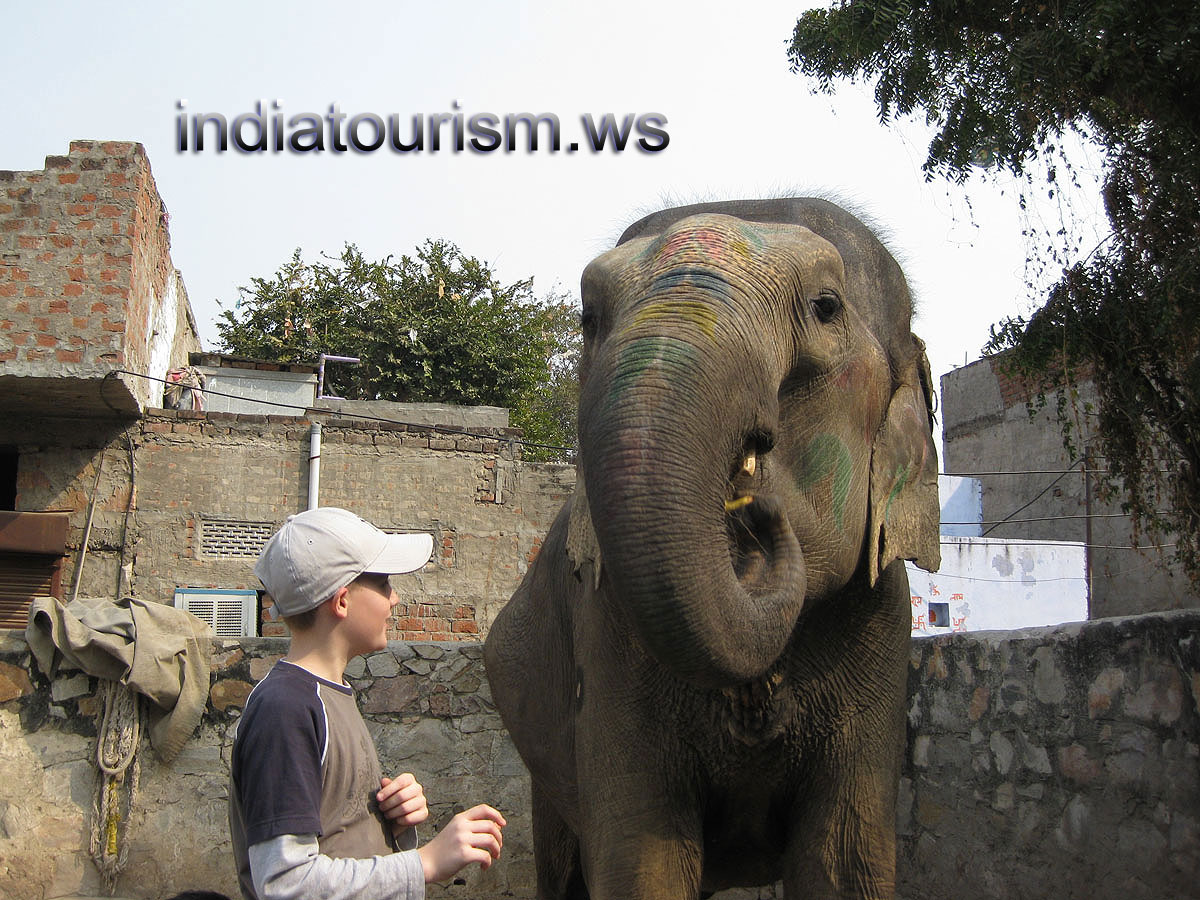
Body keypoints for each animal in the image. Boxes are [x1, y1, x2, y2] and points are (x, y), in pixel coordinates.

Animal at [483, 198, 941, 900]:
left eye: (827, 306)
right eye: (590, 319)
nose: (757, 510)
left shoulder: (881, 624)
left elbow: (843, 862)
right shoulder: (605, 629)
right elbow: (640, 860)